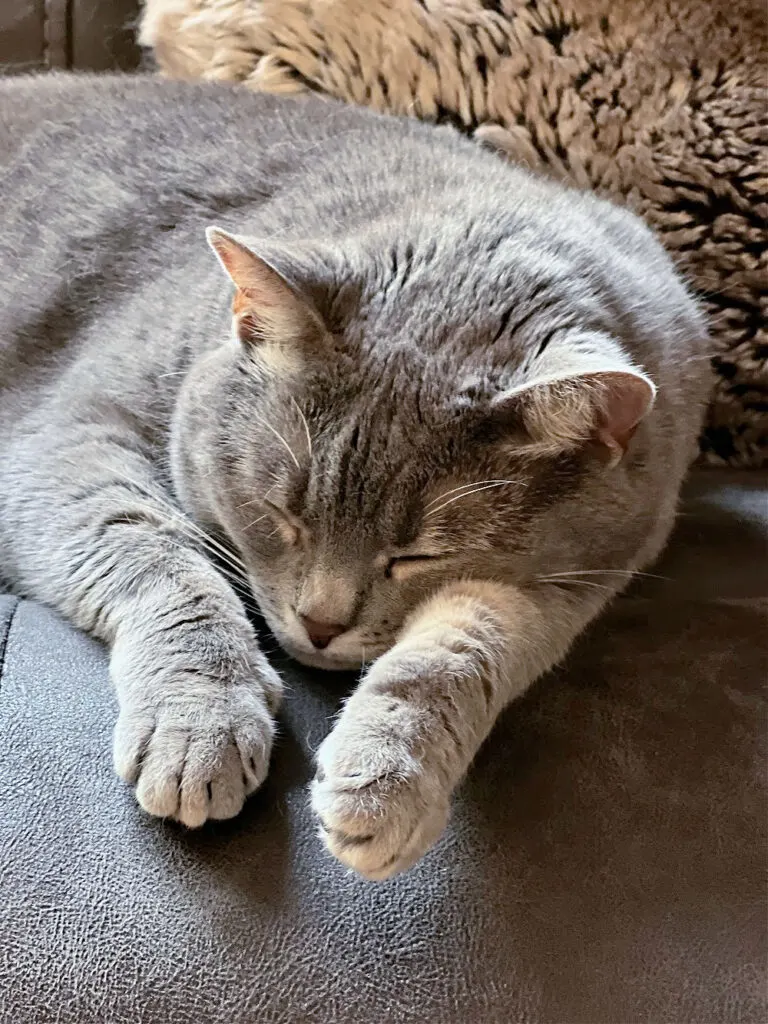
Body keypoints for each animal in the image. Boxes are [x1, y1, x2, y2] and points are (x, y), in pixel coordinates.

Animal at [0, 77, 712, 880]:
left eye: (418, 556)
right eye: (283, 515)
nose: (320, 624)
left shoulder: (583, 573)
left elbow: (467, 645)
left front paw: (387, 777)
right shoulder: (70, 436)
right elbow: (162, 559)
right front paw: (202, 719)